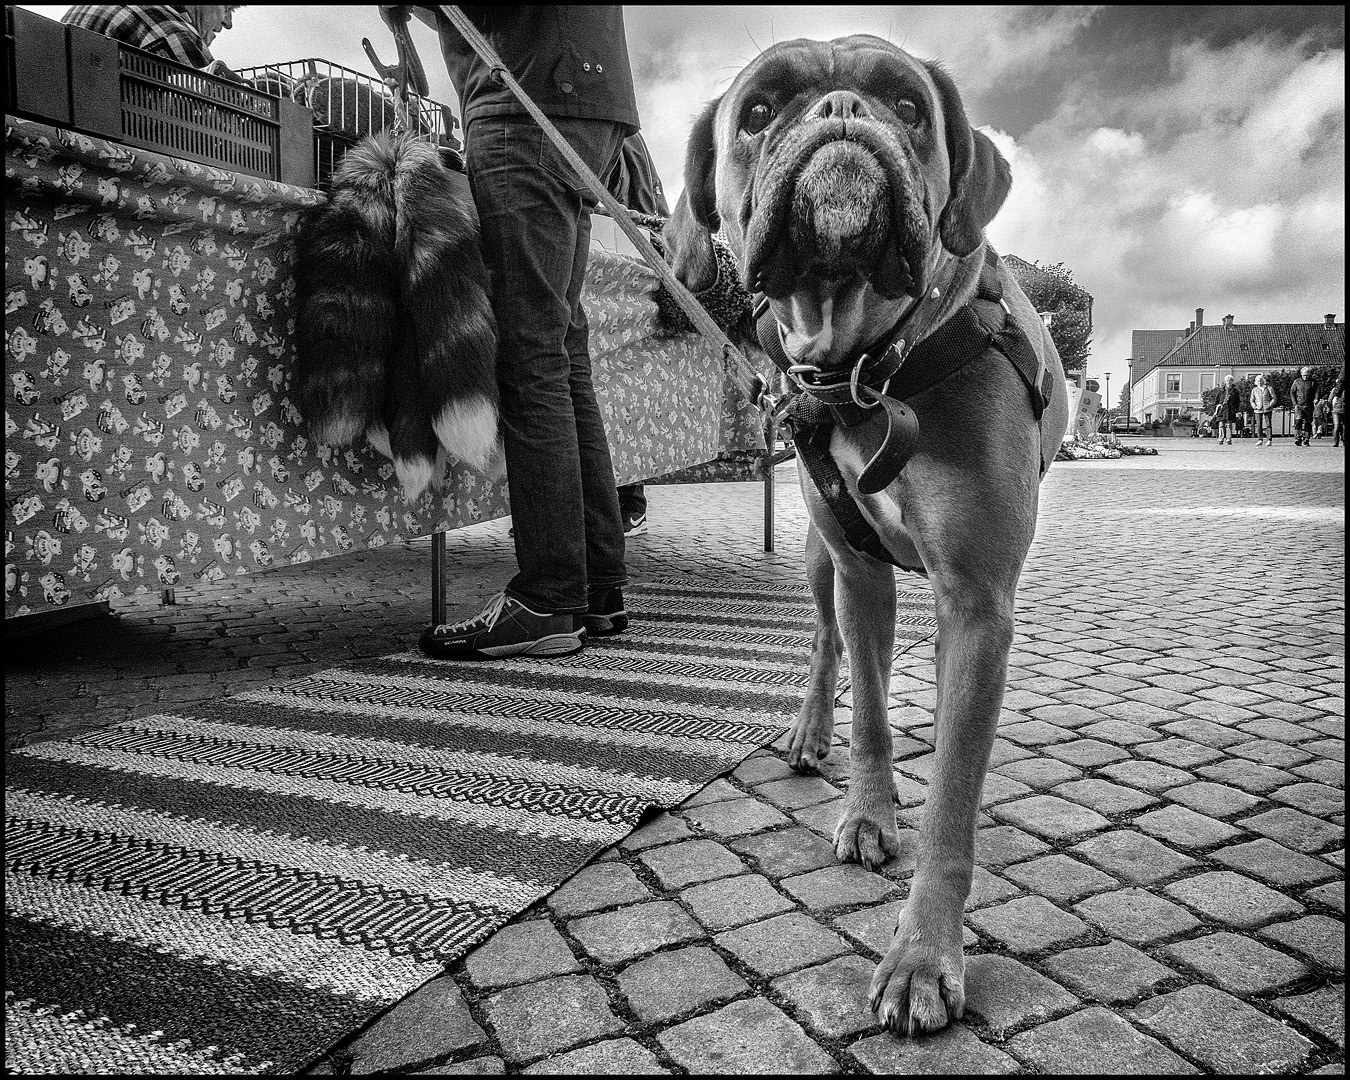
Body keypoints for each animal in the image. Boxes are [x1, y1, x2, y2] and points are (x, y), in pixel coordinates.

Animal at [664, 36, 1069, 1036]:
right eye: (759, 111)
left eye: (908, 105)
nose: (843, 109)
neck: (866, 367)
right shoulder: (858, 570)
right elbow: (875, 712)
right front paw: (869, 812)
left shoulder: (978, 605)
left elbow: (954, 802)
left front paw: (923, 957)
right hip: (819, 560)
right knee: (823, 646)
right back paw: (813, 732)